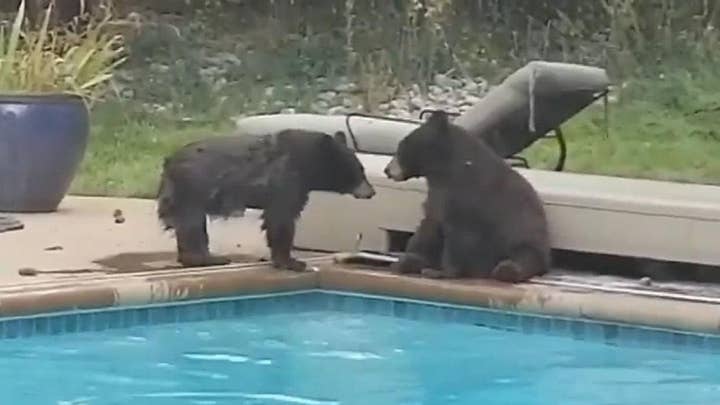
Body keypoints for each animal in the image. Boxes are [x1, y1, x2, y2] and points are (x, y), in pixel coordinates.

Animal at [155, 129, 374, 272]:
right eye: (359, 171)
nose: (371, 192)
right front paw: (292, 262)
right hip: (193, 188)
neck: (306, 162)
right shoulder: (286, 178)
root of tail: (169, 162)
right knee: (192, 223)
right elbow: (281, 216)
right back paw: (209, 259)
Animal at [386, 109, 548, 282]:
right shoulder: (437, 196)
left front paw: (443, 272)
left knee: (523, 257)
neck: (443, 171)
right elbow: (430, 224)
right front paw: (407, 260)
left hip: (525, 238)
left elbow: (460, 233)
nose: (387, 170)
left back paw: (506, 269)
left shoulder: (467, 196)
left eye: (401, 147)